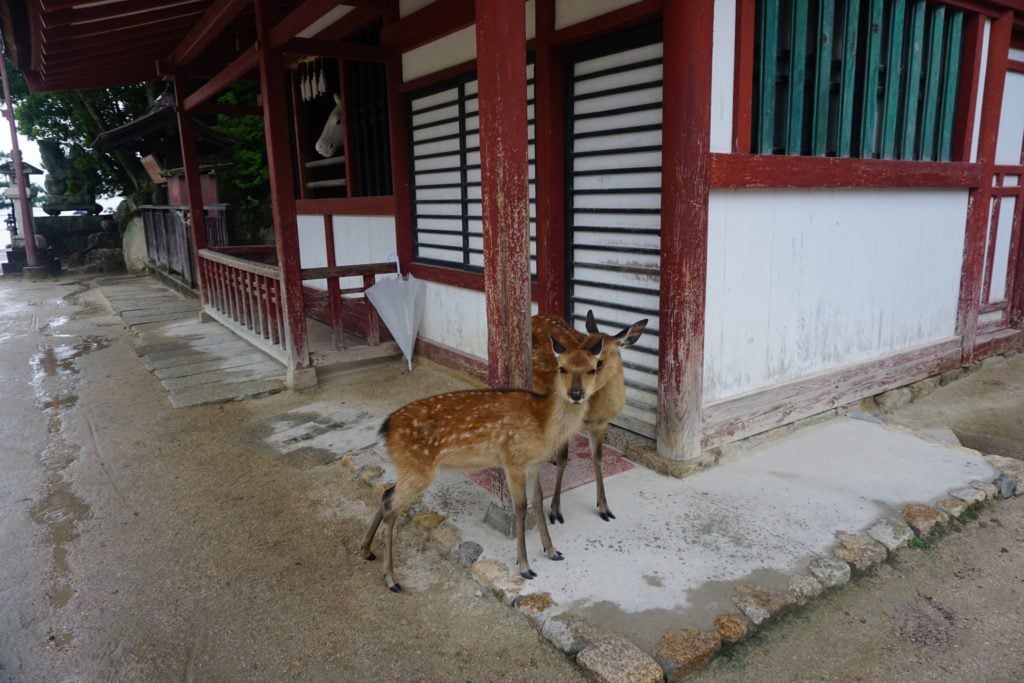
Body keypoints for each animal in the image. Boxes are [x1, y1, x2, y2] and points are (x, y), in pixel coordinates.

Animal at [360, 335, 602, 593]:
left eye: (593, 368)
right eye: (562, 368)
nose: (576, 393)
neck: (544, 425)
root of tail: (386, 429)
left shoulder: (534, 464)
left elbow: (537, 502)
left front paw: (552, 551)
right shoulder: (512, 458)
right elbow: (520, 507)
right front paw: (524, 566)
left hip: (408, 468)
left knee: (386, 492)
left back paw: (366, 550)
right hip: (418, 468)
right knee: (391, 505)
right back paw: (391, 579)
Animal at [528, 309, 647, 524]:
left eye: (598, 362)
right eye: (577, 350)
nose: (574, 394)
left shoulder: (601, 425)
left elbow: (598, 459)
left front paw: (604, 508)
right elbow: (564, 460)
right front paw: (555, 511)